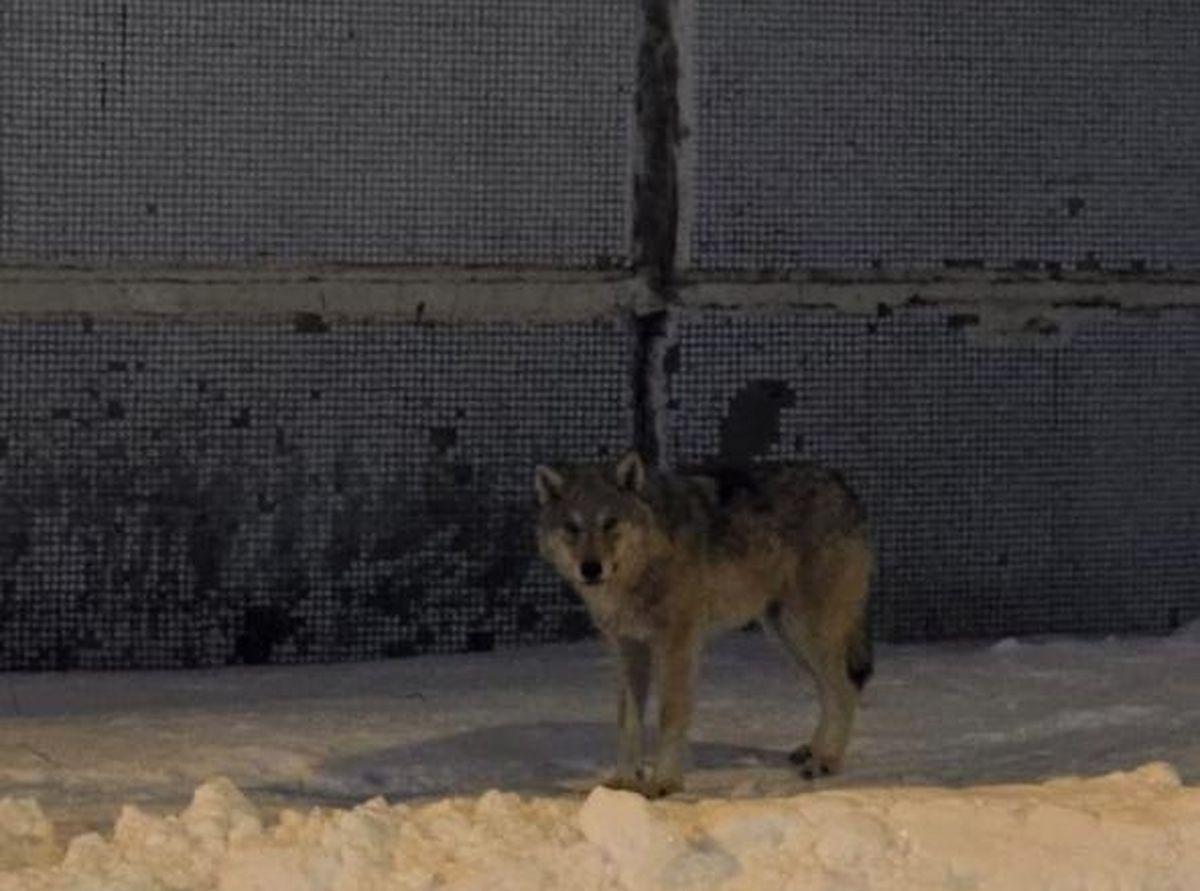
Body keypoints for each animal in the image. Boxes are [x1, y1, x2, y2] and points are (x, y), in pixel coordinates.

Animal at [535, 449, 873, 797]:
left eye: (610, 523)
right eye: (572, 527)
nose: (591, 568)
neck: (644, 565)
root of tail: (842, 486)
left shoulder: (678, 642)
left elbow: (670, 713)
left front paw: (665, 783)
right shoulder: (629, 646)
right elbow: (627, 722)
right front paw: (623, 785)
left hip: (807, 632)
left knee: (845, 689)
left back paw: (827, 761)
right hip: (788, 638)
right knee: (829, 692)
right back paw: (814, 751)